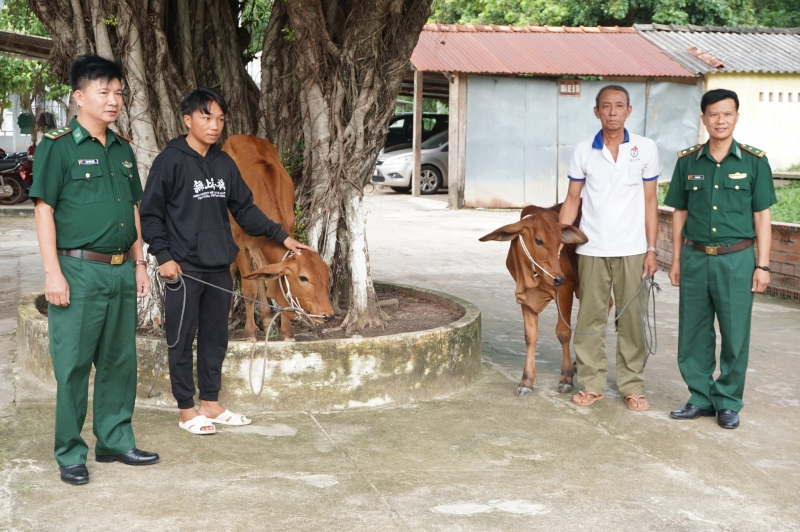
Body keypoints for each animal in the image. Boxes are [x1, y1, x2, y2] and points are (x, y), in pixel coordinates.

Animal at [220, 135, 332, 338]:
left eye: (327, 275)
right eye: (303, 278)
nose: (328, 315)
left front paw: (286, 332)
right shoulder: (240, 242)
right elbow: (249, 289)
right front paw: (249, 332)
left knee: (259, 273)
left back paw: (265, 317)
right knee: (232, 268)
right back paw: (230, 313)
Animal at [482, 204, 588, 394]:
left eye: (560, 241)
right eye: (539, 240)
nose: (558, 278)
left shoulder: (565, 289)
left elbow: (563, 332)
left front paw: (566, 377)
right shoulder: (525, 297)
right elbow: (530, 336)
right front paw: (526, 381)